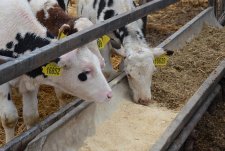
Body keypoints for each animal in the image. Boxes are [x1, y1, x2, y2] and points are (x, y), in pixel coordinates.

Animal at [0, 0, 111, 143]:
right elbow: (9, 119)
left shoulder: (30, 79)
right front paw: (9, 142)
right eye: (86, 72)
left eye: (97, 40)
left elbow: (31, 117)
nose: (109, 94)